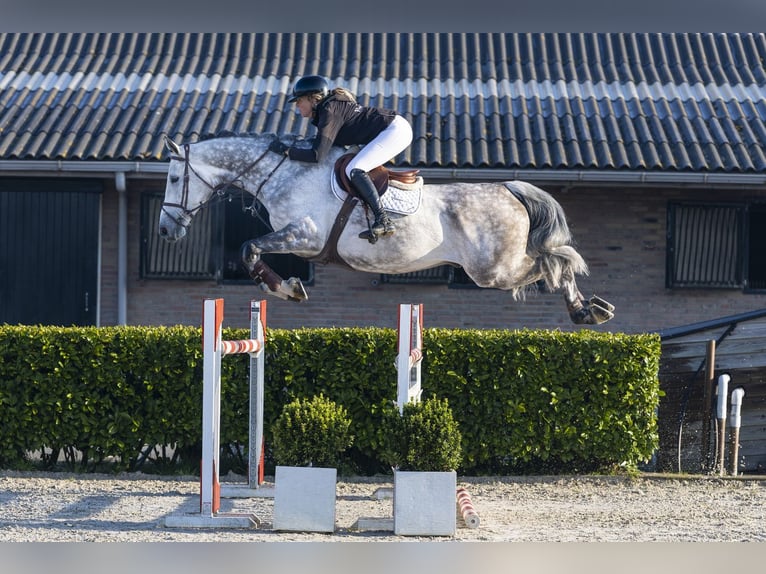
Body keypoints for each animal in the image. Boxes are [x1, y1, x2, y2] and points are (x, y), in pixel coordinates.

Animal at [158, 134, 614, 325]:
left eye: (174, 179)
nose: (165, 231)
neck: (286, 172)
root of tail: (509, 187)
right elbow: (251, 250)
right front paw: (288, 287)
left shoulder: (304, 237)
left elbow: (249, 248)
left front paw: (288, 288)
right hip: (495, 269)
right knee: (550, 262)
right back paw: (589, 308)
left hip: (493, 271)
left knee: (555, 261)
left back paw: (587, 309)